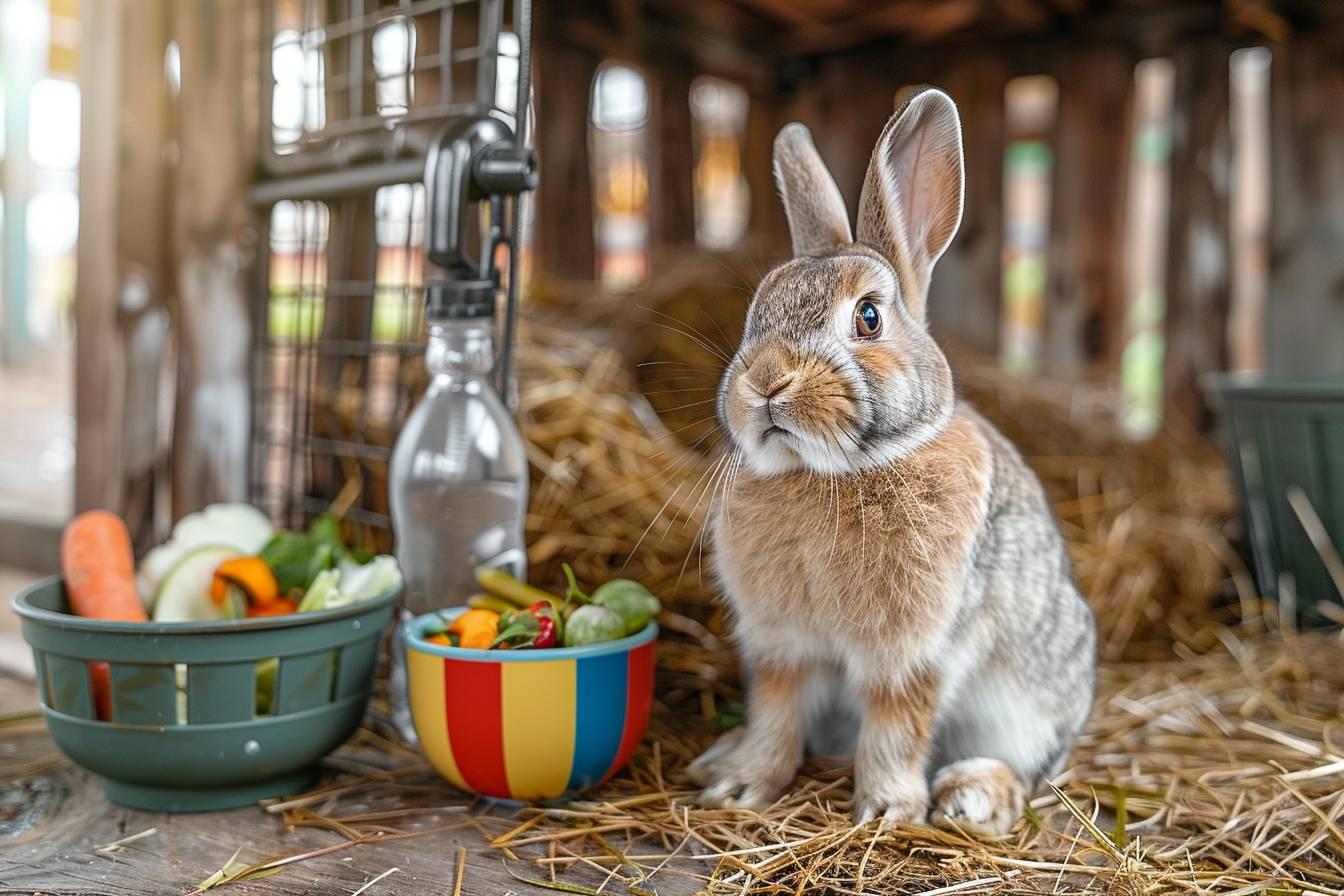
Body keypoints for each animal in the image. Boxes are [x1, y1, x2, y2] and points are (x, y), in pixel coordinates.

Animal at [688, 87, 1096, 838]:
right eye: (756, 314)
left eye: (869, 318)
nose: (765, 383)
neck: (828, 474)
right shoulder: (782, 648)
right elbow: (775, 717)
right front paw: (739, 787)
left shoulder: (911, 656)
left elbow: (895, 729)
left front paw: (886, 811)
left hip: (1027, 710)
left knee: (1029, 772)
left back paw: (972, 796)